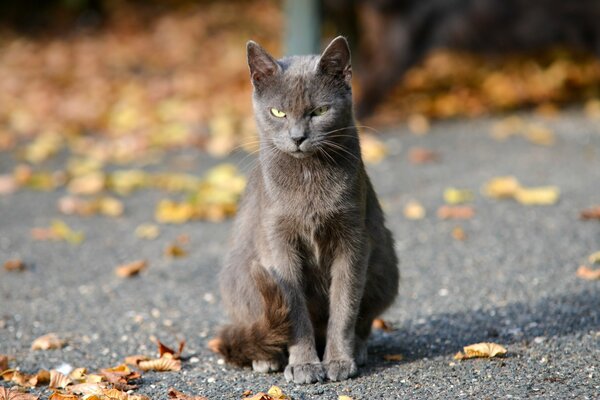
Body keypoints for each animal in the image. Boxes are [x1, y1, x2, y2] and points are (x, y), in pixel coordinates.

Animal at [213, 37, 400, 384]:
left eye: (320, 111)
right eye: (278, 112)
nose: (297, 137)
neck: (308, 175)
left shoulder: (353, 239)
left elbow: (345, 306)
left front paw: (338, 360)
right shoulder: (279, 243)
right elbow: (294, 310)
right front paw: (304, 365)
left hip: (385, 266)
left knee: (365, 319)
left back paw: (358, 349)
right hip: (240, 277)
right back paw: (267, 357)